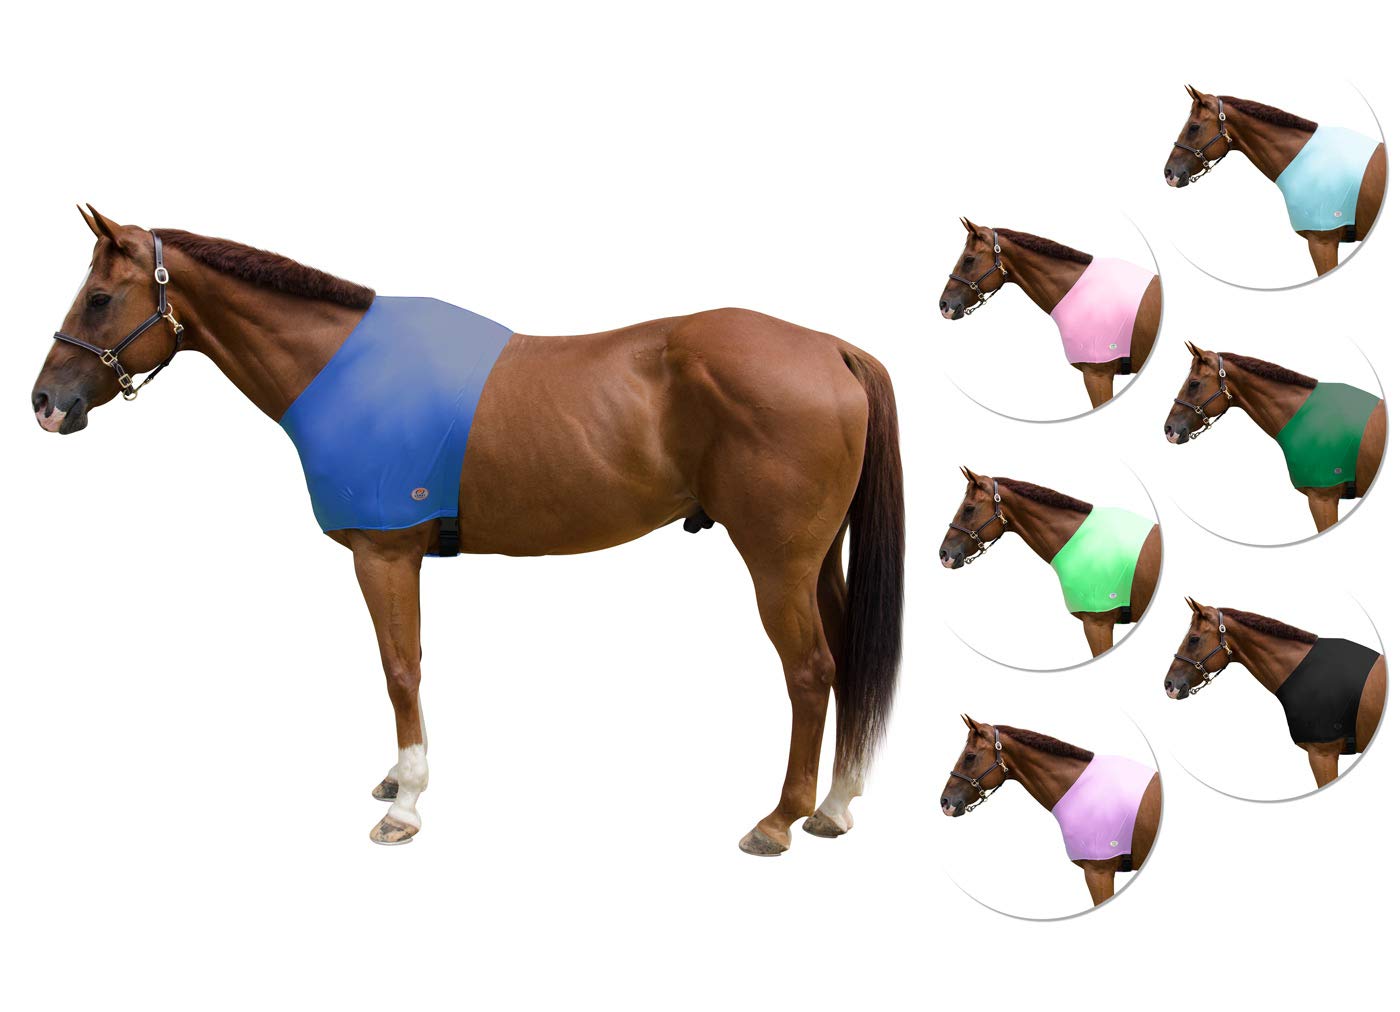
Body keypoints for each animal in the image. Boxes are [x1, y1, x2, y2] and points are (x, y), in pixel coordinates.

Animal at [30, 206, 906, 854]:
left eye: (99, 298)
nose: (45, 403)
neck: (343, 367)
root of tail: (832, 349)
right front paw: (397, 780)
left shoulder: (384, 554)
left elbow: (401, 670)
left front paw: (405, 805)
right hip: (818, 562)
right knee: (846, 657)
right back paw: (834, 806)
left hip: (777, 564)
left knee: (810, 672)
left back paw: (779, 819)